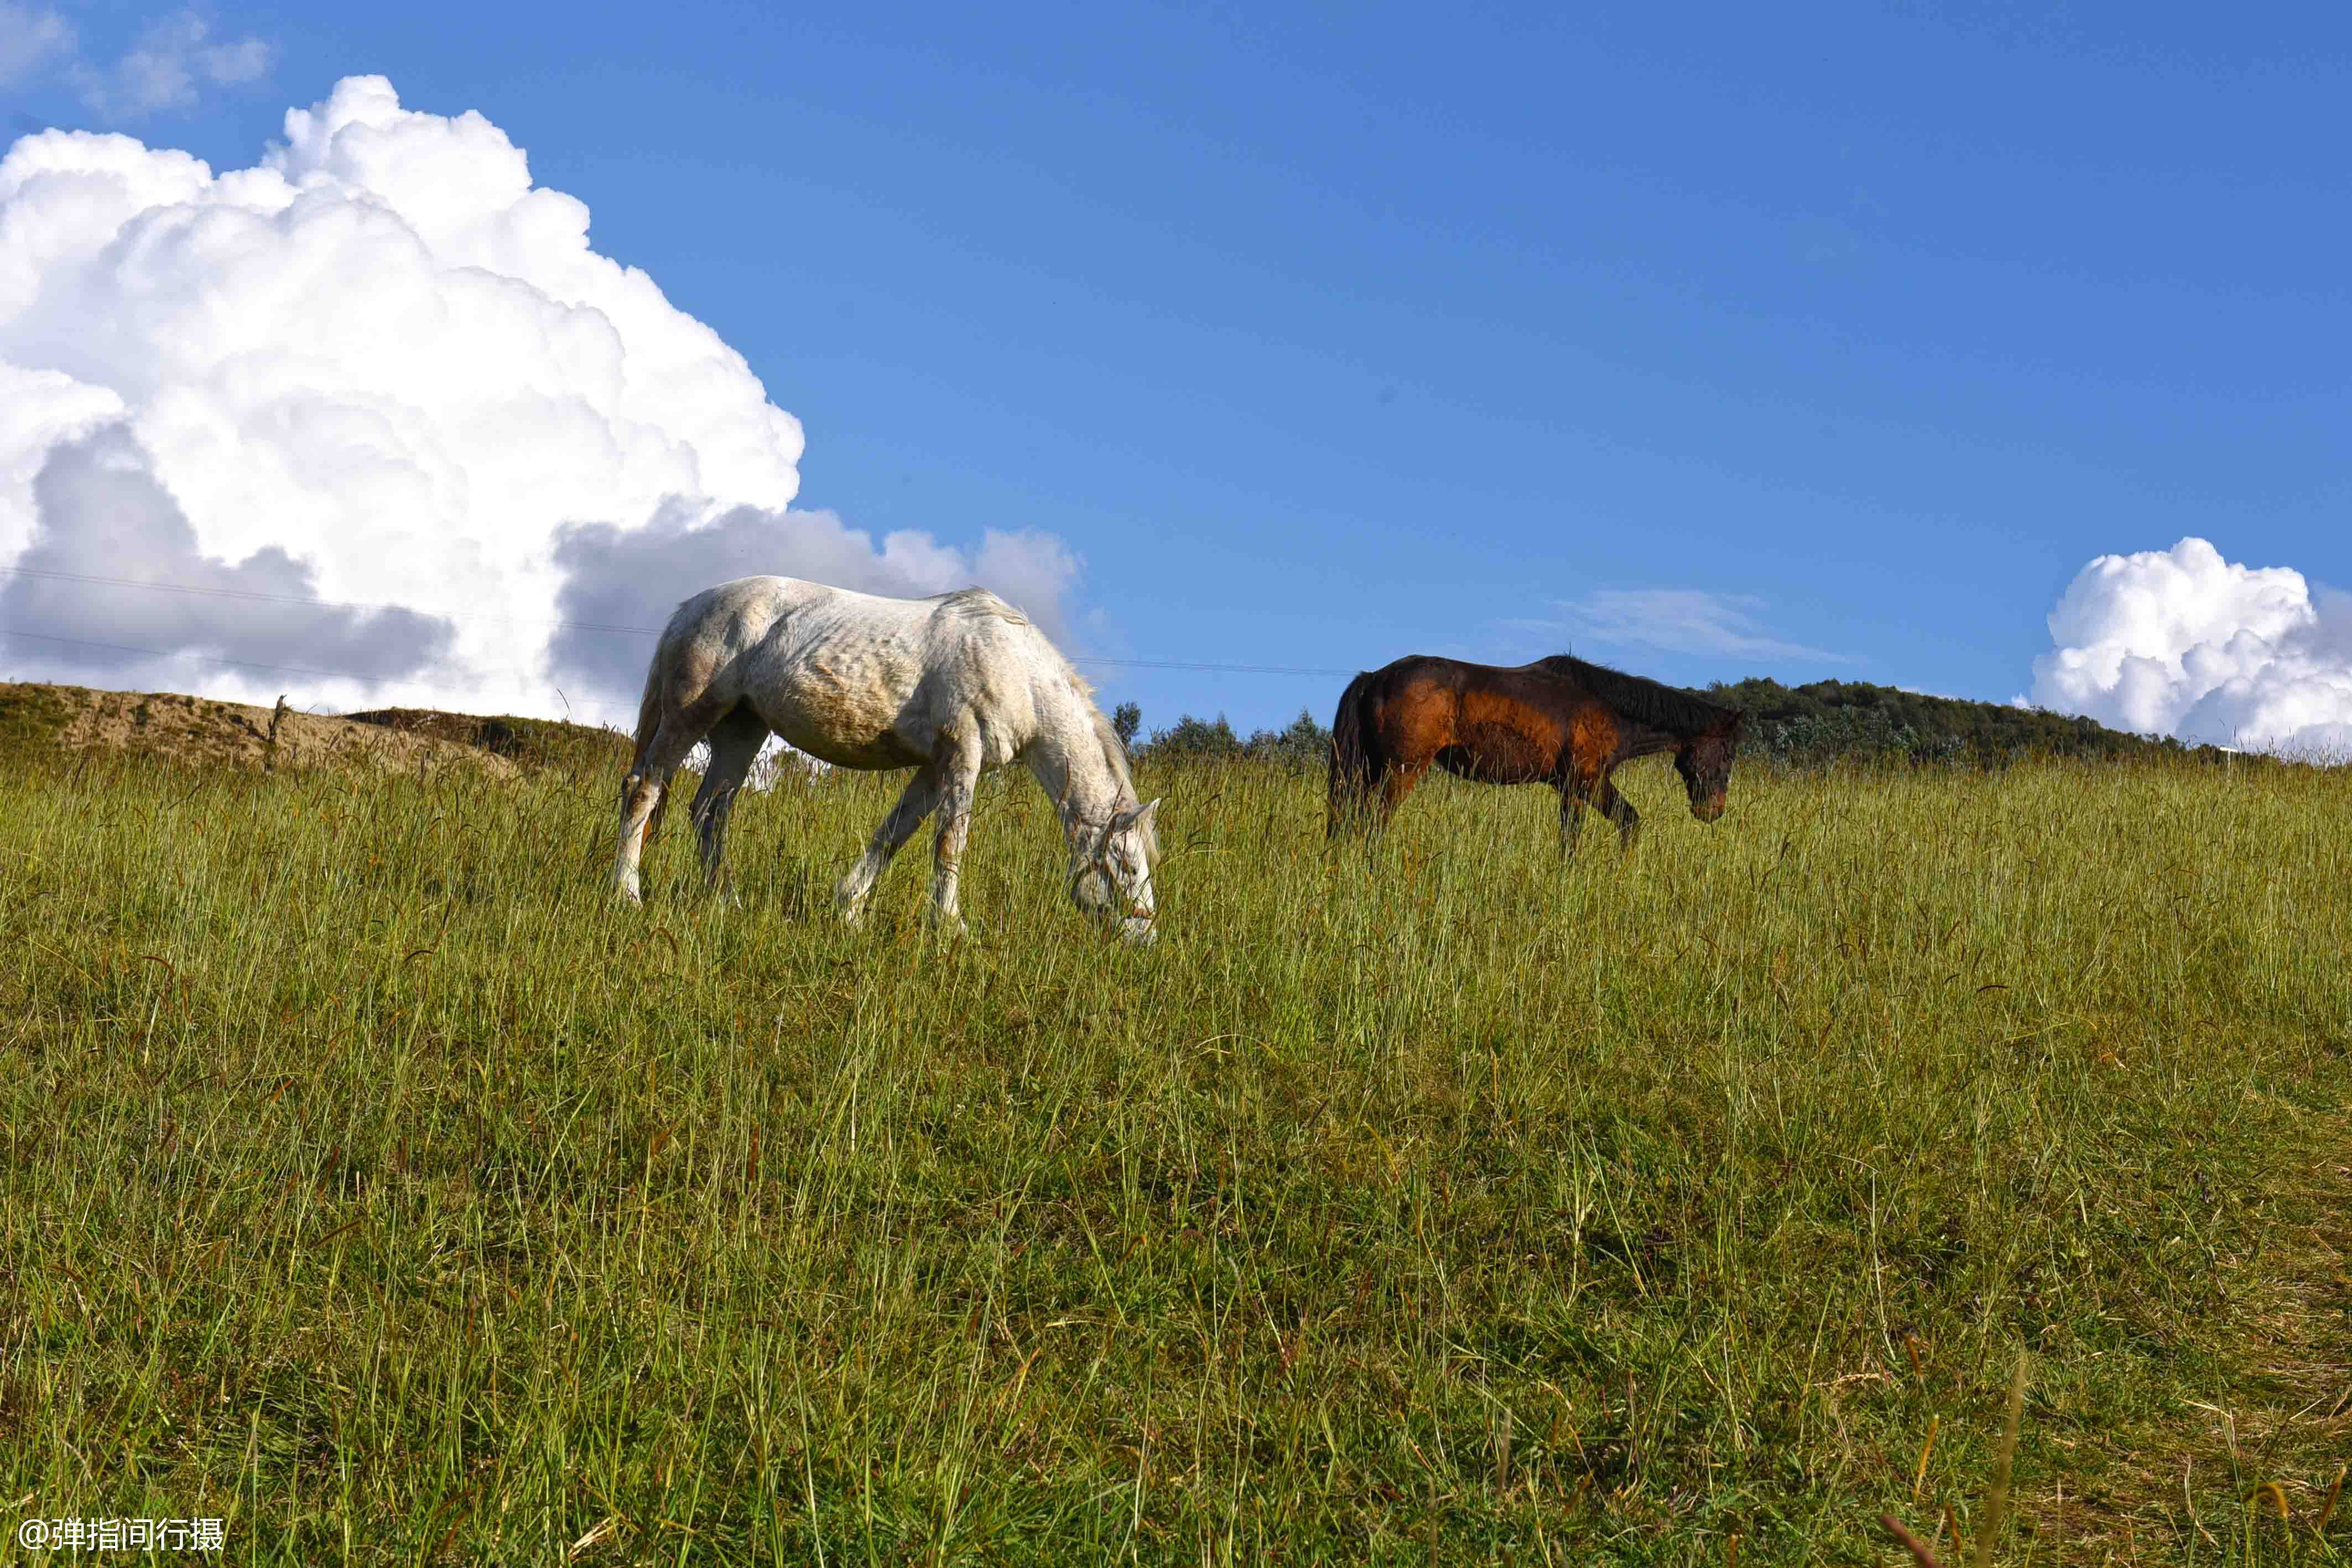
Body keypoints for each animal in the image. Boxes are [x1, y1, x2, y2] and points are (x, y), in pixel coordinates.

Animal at [607, 576, 1157, 945]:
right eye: (1127, 866)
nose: (1145, 938)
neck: (1016, 669)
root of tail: (689, 608)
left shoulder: (935, 765)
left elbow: (894, 834)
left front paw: (850, 909)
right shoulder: (962, 753)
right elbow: (950, 842)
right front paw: (951, 928)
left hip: (742, 731)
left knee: (709, 811)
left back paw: (727, 900)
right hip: (689, 715)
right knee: (644, 789)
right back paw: (627, 894)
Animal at [1326, 653, 1750, 851]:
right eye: (1727, 754)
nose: (1714, 810)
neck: (1609, 707)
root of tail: (1374, 678)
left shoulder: (1576, 786)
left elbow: (1611, 827)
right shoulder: (1584, 783)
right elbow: (1594, 833)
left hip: (1370, 771)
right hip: (1400, 771)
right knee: (1374, 823)